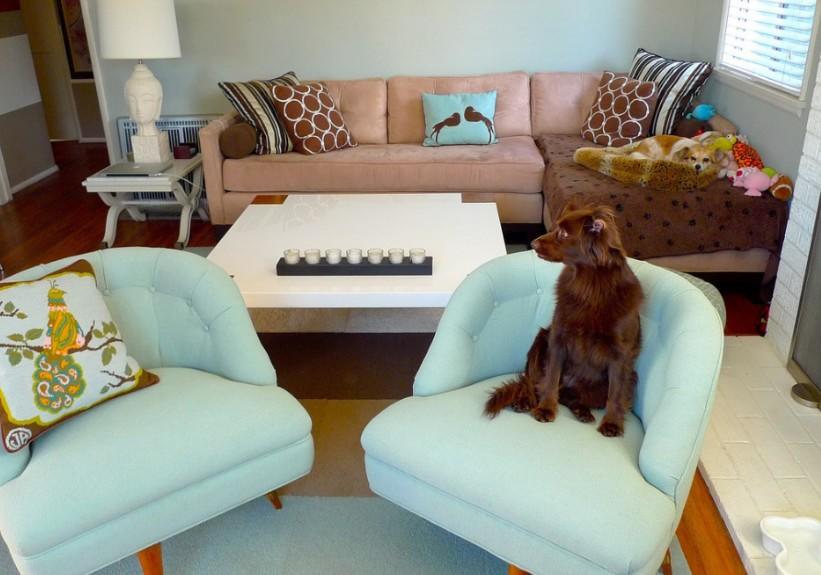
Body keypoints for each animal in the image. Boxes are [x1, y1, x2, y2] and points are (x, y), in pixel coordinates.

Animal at [484, 205, 644, 437]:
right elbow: (550, 378)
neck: (589, 285)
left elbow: (615, 393)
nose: (533, 244)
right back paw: (525, 400)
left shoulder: (620, 355)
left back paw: (582, 411)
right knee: (531, 381)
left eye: (564, 233)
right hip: (540, 340)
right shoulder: (557, 338)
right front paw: (545, 409)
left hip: (621, 380)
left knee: (570, 397)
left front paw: (612, 423)